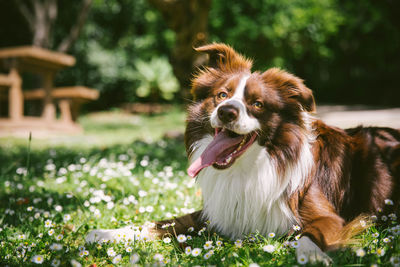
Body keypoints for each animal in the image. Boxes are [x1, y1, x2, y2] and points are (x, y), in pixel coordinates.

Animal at [86, 43, 400, 264]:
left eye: (257, 104)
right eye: (222, 95)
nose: (226, 111)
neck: (251, 167)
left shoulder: (328, 217)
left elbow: (309, 235)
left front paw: (310, 255)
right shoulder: (216, 213)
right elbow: (163, 222)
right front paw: (105, 233)